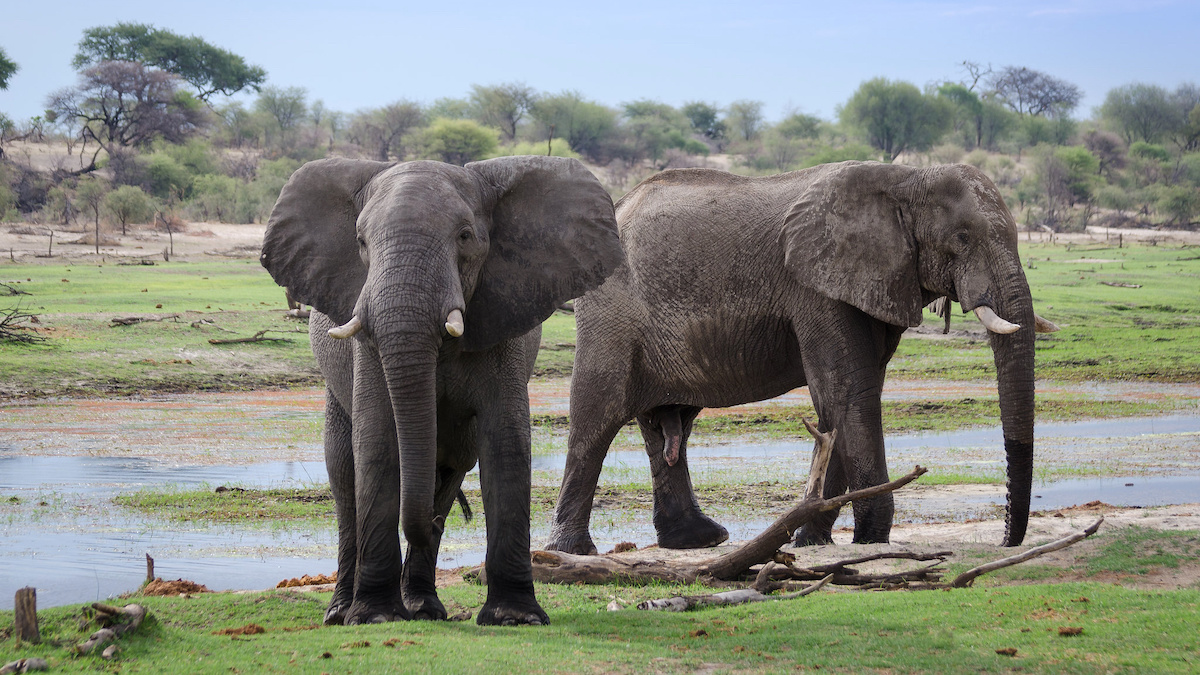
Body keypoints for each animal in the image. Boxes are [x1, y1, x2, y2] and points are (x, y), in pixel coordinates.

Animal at [260, 155, 622, 626]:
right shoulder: (366, 345)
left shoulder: (503, 324)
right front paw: (376, 617)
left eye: (464, 236)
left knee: (450, 470)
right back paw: (343, 612)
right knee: (344, 473)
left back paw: (424, 605)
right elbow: (376, 441)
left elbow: (506, 445)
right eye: (360, 241)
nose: (425, 524)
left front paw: (515, 617)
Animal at [547, 160, 1058, 555]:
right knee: (597, 416)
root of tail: (620, 205)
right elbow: (848, 392)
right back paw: (573, 550)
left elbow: (844, 401)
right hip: (612, 311)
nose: (1007, 542)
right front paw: (870, 539)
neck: (906, 178)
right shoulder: (815, 290)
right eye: (963, 237)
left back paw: (699, 540)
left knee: (670, 426)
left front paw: (810, 541)